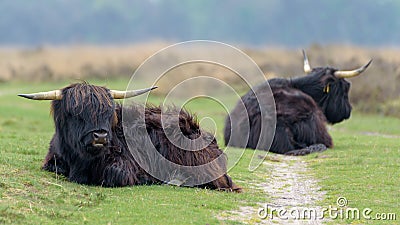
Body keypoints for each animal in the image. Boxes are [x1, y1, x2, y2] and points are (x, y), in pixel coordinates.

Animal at [19, 82, 241, 192]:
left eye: (108, 112)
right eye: (76, 113)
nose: (100, 136)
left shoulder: (124, 165)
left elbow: (115, 175)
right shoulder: (53, 159)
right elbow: (54, 168)